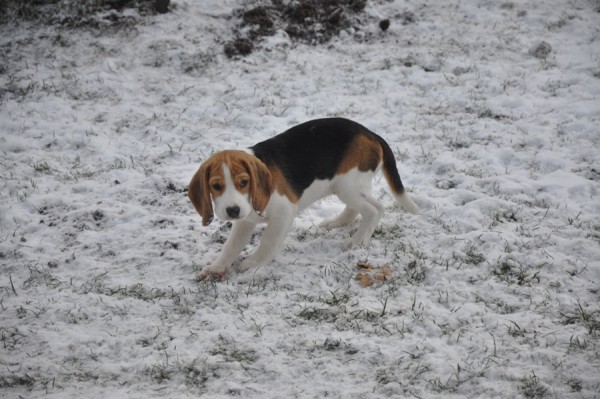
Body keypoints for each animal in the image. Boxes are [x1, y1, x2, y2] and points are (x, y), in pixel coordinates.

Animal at [188, 117, 418, 280]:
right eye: (216, 186)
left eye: (243, 182)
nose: (232, 211)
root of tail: (371, 133)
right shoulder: (244, 222)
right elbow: (231, 246)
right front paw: (217, 267)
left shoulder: (283, 212)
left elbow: (267, 241)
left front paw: (254, 263)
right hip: (345, 187)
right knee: (356, 209)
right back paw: (335, 222)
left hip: (348, 185)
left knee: (375, 209)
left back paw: (358, 240)